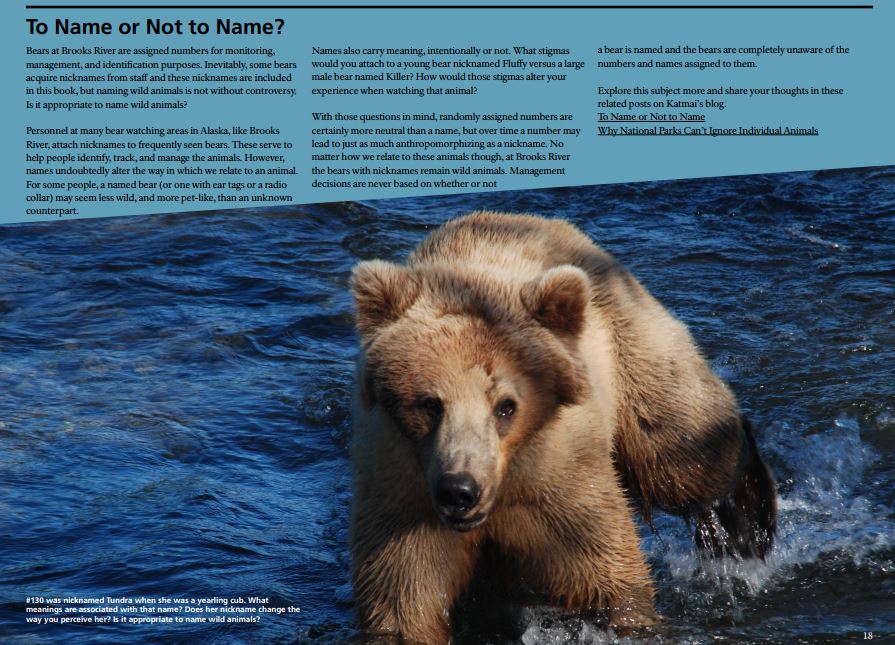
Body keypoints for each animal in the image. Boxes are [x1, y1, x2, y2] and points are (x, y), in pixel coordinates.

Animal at [350, 213, 776, 644]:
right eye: (429, 403)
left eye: (506, 406)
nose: (460, 490)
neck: (505, 485)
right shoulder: (404, 497)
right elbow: (404, 601)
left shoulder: (561, 482)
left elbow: (607, 574)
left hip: (629, 345)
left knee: (681, 449)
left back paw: (745, 526)